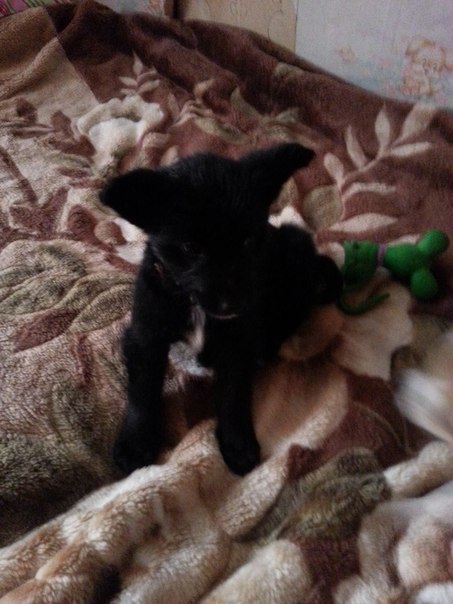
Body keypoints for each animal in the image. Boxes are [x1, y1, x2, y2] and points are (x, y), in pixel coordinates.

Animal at [100, 143, 342, 475]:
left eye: (248, 241)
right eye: (190, 248)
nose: (232, 305)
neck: (192, 302)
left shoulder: (236, 344)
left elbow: (232, 394)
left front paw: (237, 443)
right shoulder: (145, 334)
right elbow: (142, 389)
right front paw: (136, 444)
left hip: (294, 246)